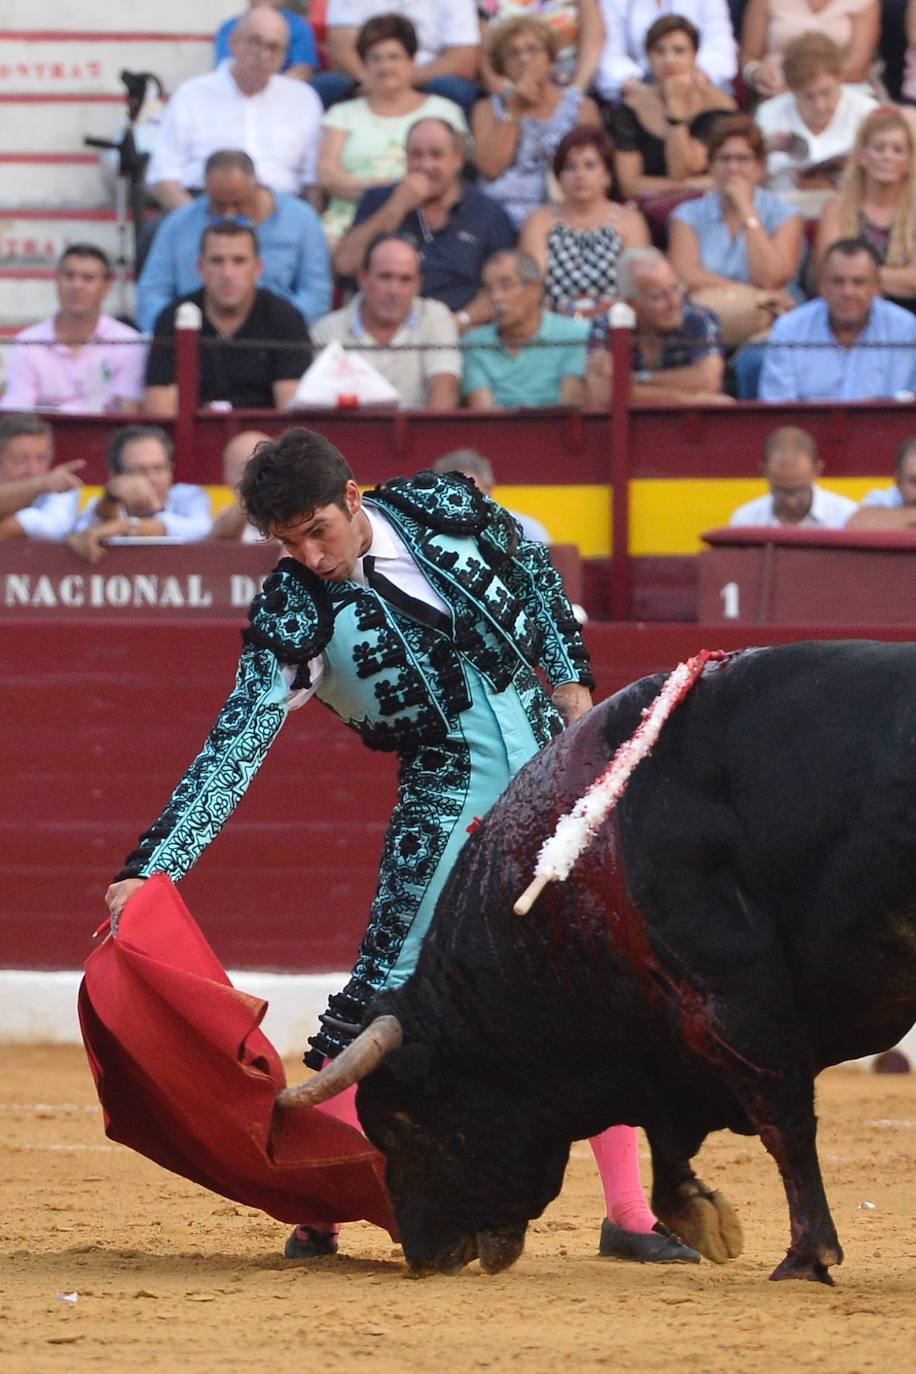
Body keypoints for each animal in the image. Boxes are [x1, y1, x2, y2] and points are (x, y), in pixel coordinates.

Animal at [284, 637, 916, 1280]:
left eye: (400, 1122)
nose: (423, 1254)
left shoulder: (733, 997)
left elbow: (782, 1120)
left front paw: (805, 1256)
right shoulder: (667, 1032)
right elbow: (666, 1132)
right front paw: (699, 1217)